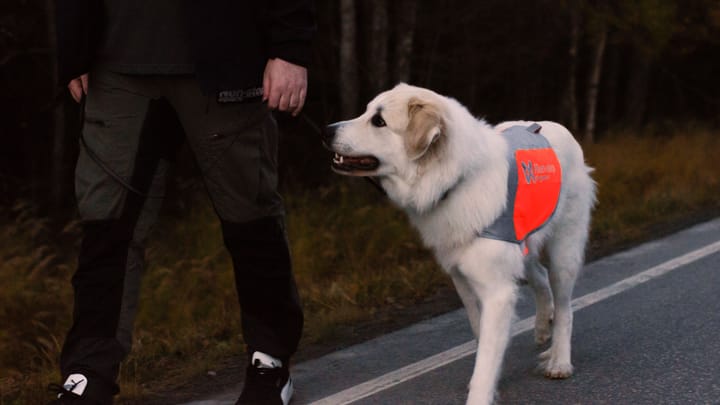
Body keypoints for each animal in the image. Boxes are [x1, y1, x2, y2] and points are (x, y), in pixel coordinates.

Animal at [326, 83, 596, 402]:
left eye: (378, 121)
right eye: (367, 111)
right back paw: (543, 327)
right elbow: (480, 335)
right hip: (523, 246)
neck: (456, 180)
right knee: (540, 279)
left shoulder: (497, 291)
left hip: (563, 253)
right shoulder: (463, 280)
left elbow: (487, 357)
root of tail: (557, 127)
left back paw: (559, 361)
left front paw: (481, 393)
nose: (326, 131)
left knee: (565, 307)